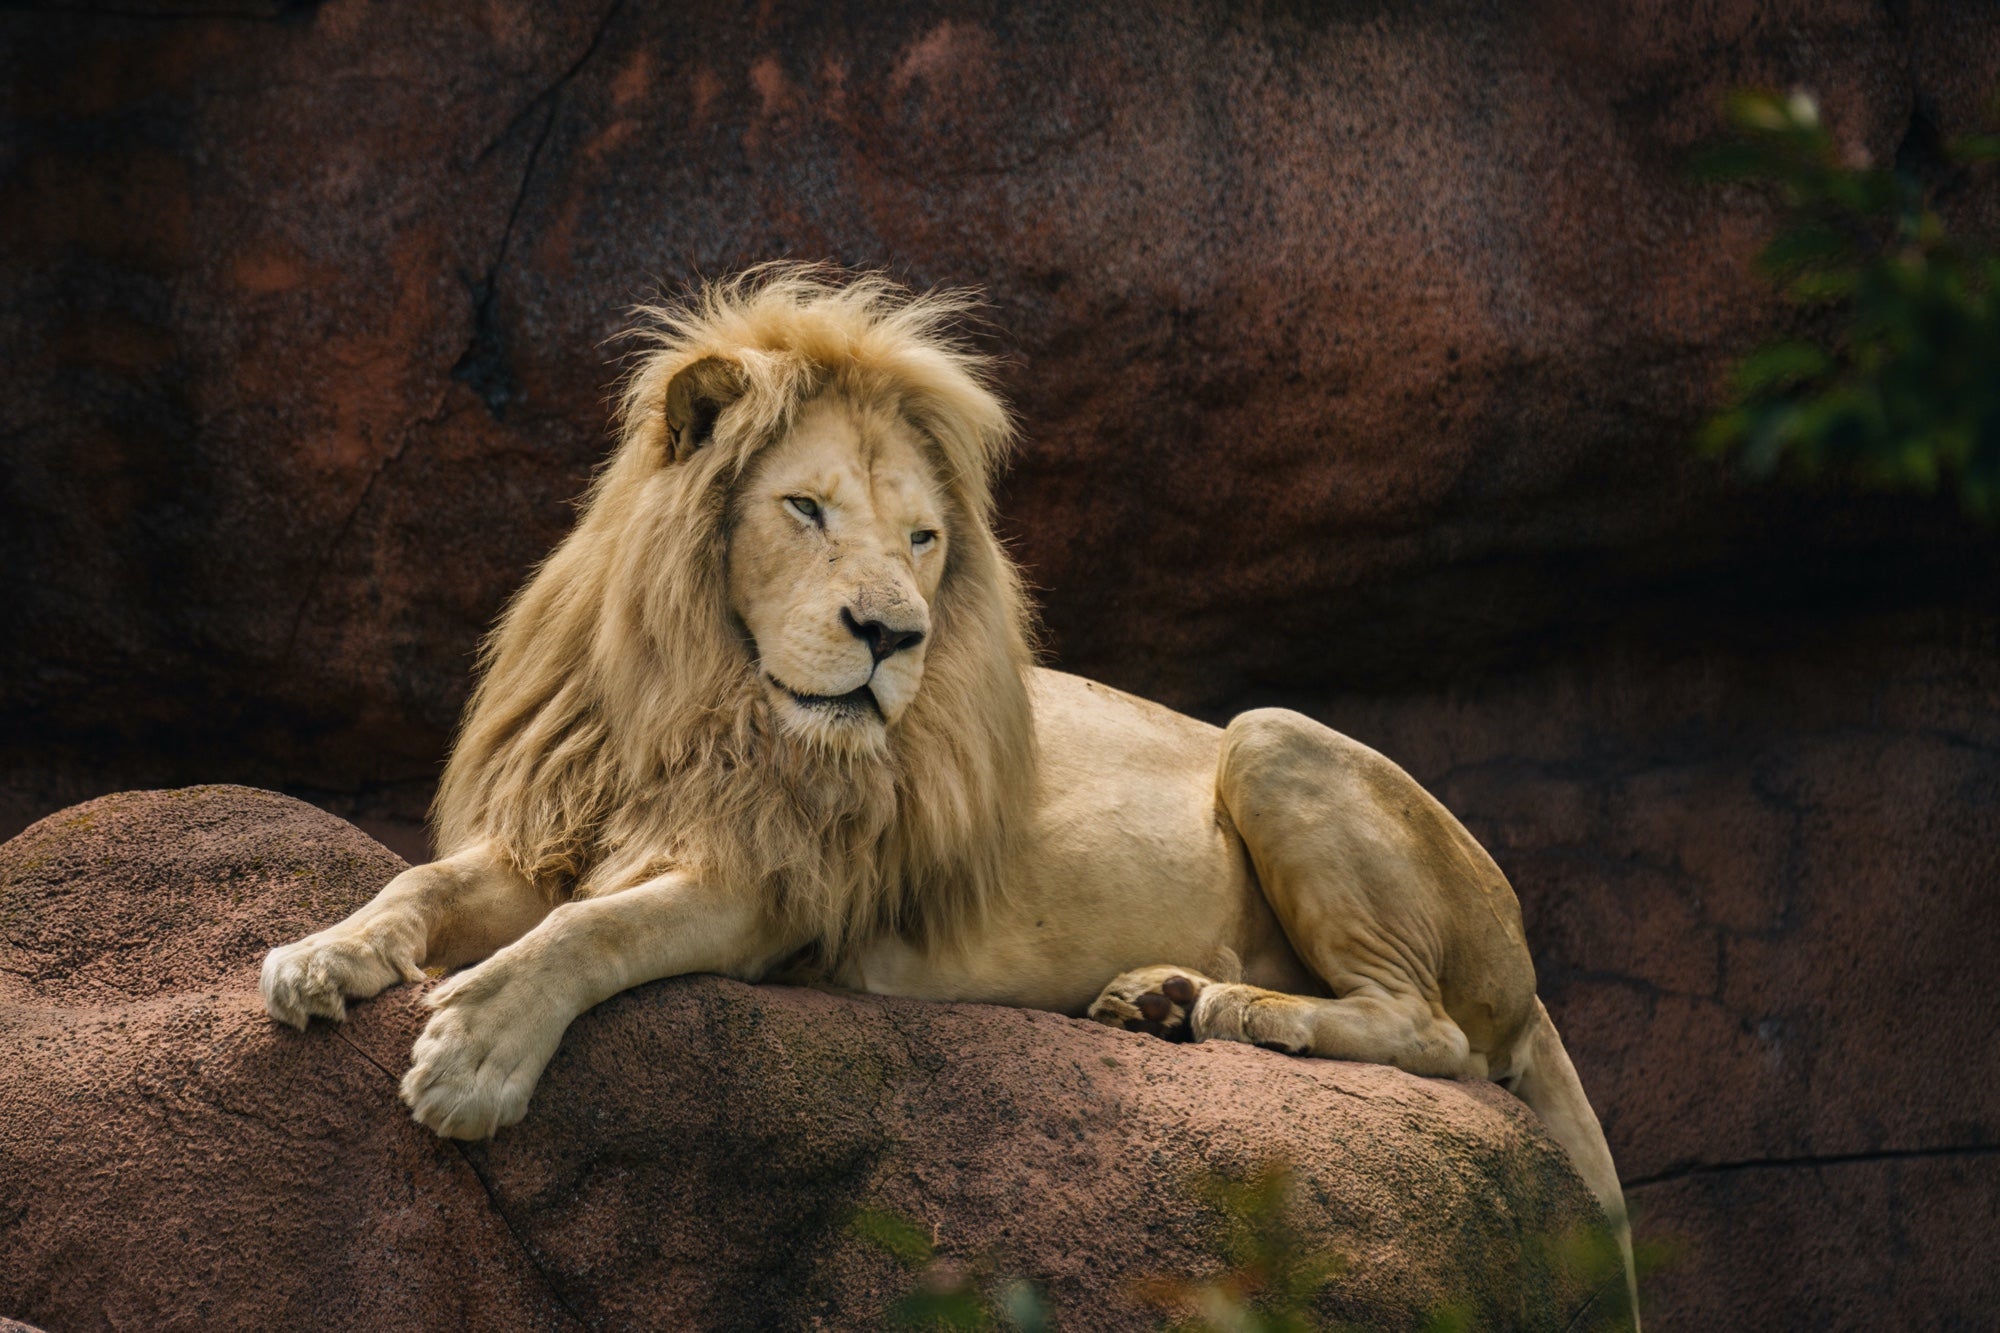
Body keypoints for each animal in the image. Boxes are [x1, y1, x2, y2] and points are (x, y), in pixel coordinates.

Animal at [262, 260, 1640, 1320]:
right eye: (805, 508)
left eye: (923, 538)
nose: (891, 635)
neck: (702, 703)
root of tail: (1524, 961)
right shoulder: (557, 827)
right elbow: (421, 885)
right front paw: (318, 957)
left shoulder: (775, 893)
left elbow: (595, 931)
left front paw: (475, 1056)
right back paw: (1158, 996)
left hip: (1273, 738)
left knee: (1433, 1035)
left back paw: (1234, 1009)